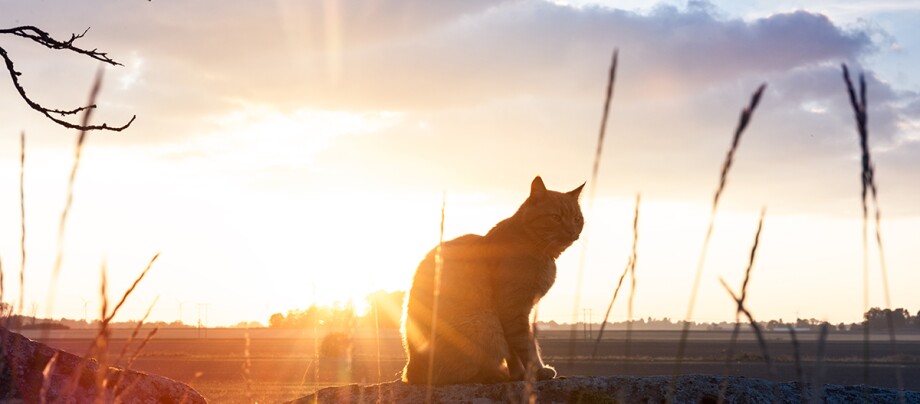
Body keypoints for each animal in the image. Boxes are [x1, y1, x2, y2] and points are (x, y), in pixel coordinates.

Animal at [400, 177, 584, 386]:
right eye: (556, 218)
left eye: (577, 219)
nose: (572, 232)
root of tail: (410, 372)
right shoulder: (512, 310)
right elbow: (526, 346)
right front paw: (537, 371)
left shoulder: (516, 314)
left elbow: (514, 351)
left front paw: (519, 375)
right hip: (484, 323)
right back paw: (494, 375)